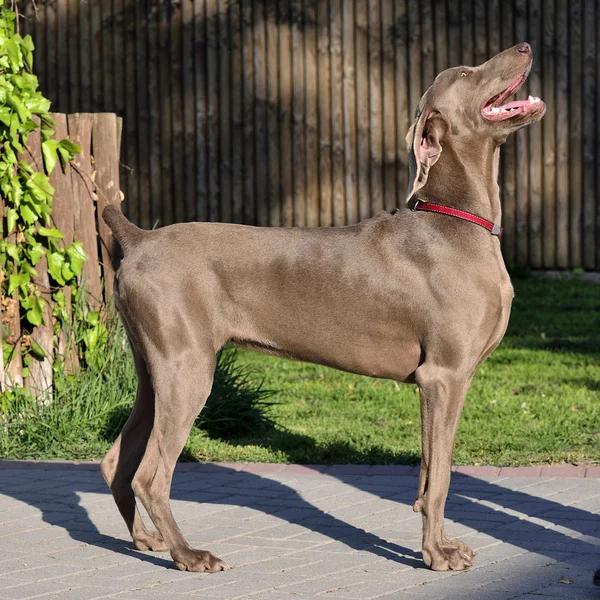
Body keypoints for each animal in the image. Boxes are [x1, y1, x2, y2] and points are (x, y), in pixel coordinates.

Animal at [102, 43, 544, 572]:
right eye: (464, 73)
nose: (523, 46)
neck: (457, 219)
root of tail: (139, 238)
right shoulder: (444, 375)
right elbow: (440, 478)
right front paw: (436, 554)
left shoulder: (437, 385)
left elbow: (426, 473)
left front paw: (438, 544)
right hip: (188, 368)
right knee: (150, 474)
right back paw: (188, 555)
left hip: (155, 368)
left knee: (116, 461)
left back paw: (146, 539)